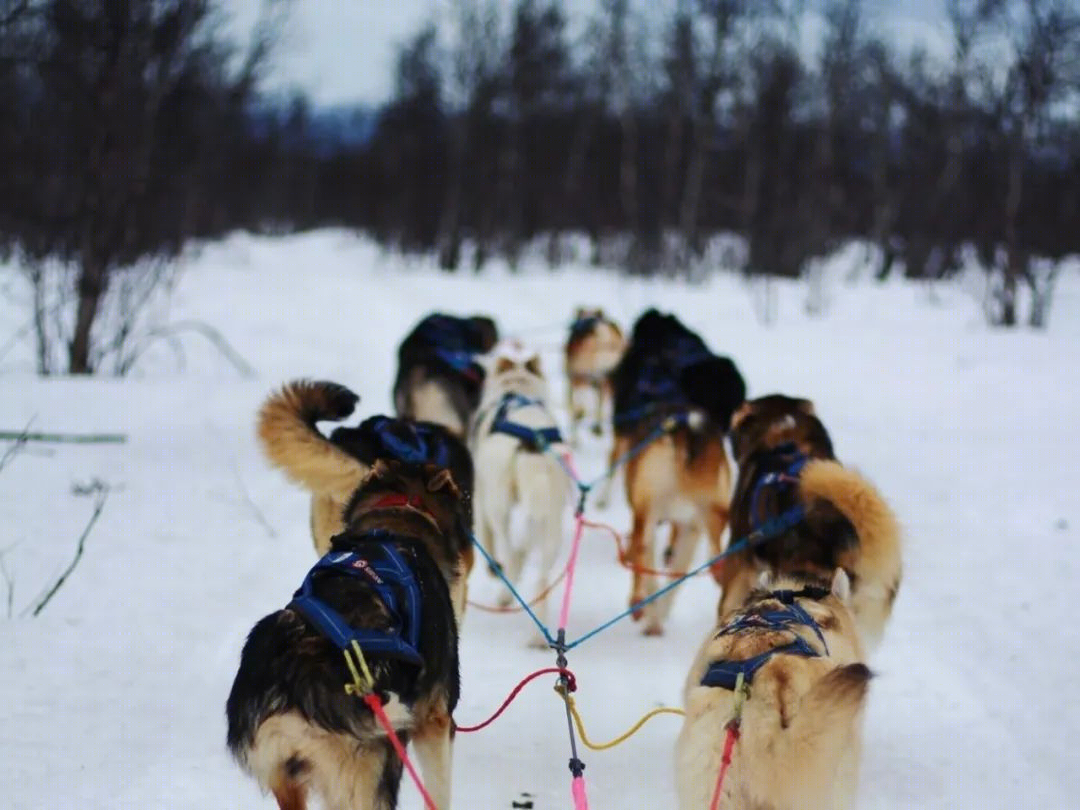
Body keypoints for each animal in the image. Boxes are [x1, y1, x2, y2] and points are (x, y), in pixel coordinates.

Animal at [604, 313, 747, 639]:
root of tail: (685, 429)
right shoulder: (687, 526)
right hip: (709, 514)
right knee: (704, 559)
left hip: (649, 512)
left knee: (642, 553)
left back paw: (638, 605)